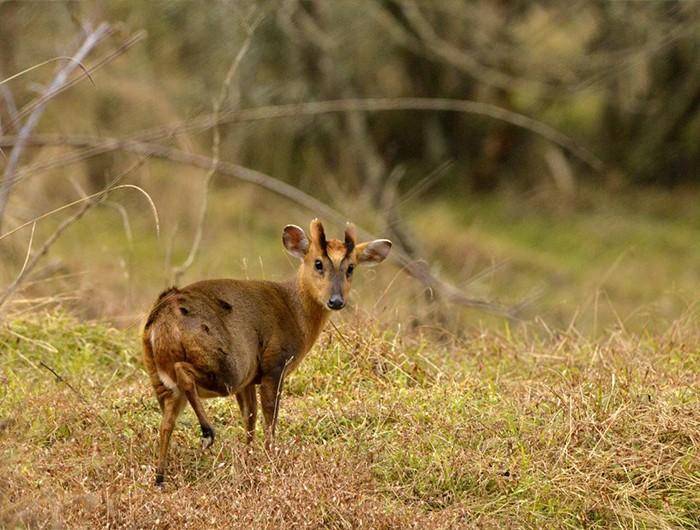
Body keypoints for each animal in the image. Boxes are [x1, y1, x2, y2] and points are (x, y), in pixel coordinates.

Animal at [142, 219, 394, 482]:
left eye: (351, 267)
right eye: (318, 263)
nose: (336, 301)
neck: (296, 311)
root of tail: (162, 319)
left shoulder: (250, 379)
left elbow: (249, 418)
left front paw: (249, 458)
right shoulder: (275, 364)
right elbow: (270, 417)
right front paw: (270, 456)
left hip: (162, 378)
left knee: (166, 423)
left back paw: (160, 477)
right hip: (227, 366)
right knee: (184, 373)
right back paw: (207, 433)